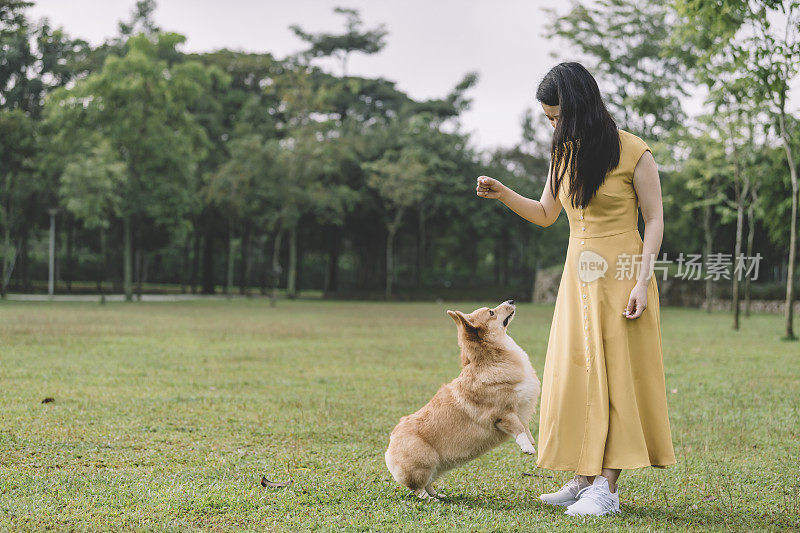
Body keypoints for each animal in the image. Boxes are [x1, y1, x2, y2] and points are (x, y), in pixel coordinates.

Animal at [384, 300, 540, 498]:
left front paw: (532, 440)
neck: (492, 359)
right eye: (491, 312)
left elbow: (525, 427)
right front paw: (528, 447)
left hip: (435, 469)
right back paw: (429, 499)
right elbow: (518, 429)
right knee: (418, 488)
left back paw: (438, 495)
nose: (511, 301)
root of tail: (392, 440)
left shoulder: (521, 410)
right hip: (424, 463)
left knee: (428, 483)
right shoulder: (503, 414)